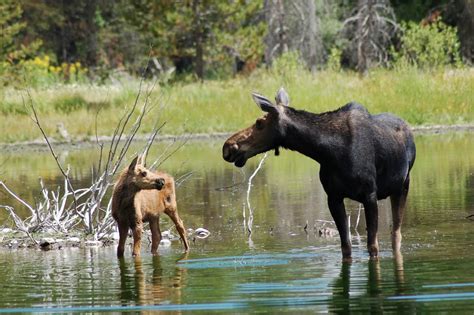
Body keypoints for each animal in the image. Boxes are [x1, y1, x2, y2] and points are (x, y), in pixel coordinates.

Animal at [222, 88, 414, 260]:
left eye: (259, 123)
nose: (228, 146)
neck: (328, 151)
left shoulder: (369, 194)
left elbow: (373, 247)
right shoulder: (333, 196)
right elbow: (346, 247)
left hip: (403, 185)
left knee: (396, 234)